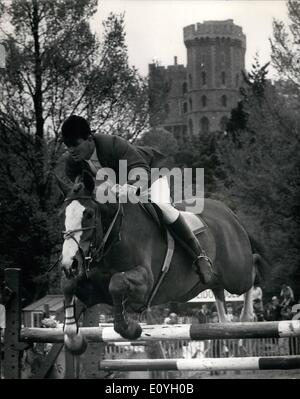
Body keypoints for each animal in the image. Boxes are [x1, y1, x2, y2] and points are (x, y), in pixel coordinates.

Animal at [56, 173, 268, 354]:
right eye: (63, 215)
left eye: (89, 214)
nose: (69, 264)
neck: (115, 237)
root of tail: (229, 213)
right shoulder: (94, 291)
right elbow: (68, 285)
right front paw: (74, 340)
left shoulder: (145, 284)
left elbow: (117, 283)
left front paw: (130, 329)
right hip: (214, 280)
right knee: (217, 287)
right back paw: (224, 322)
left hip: (236, 274)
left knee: (252, 268)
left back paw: (246, 317)